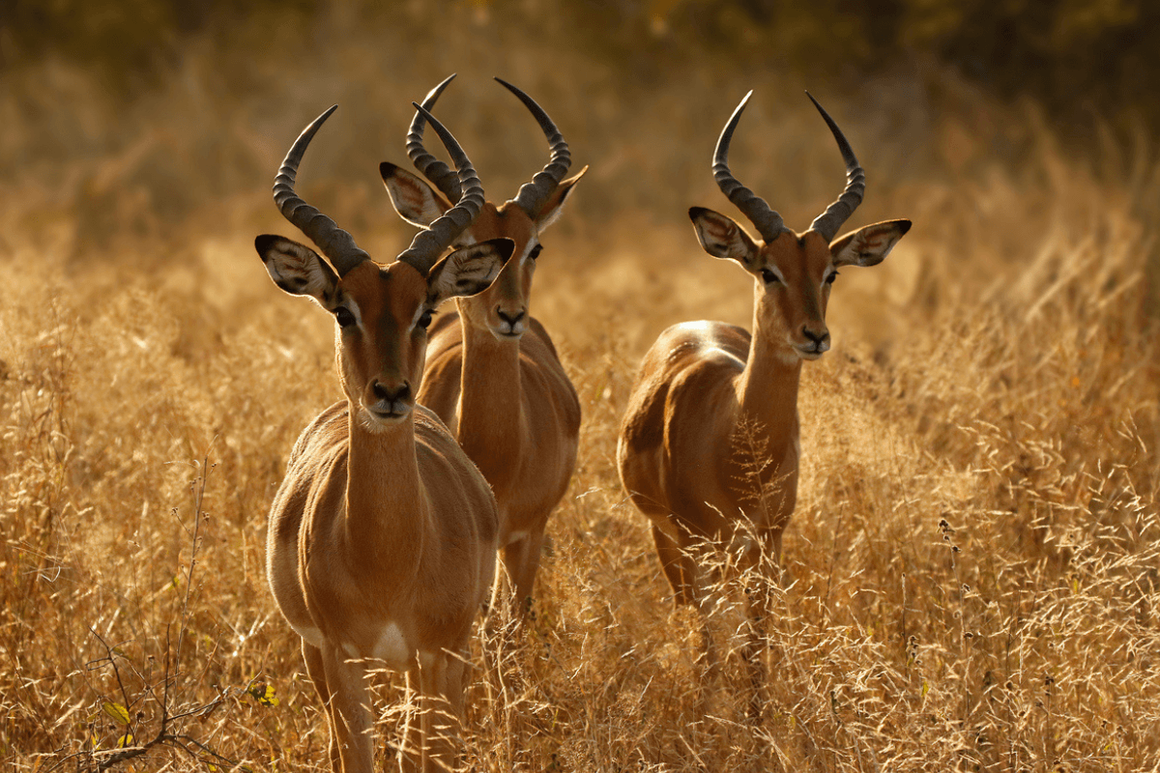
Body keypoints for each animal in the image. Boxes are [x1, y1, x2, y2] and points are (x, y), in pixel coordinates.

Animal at [258, 103, 513, 772]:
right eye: (343, 309)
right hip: (325, 659)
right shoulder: (340, 658)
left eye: (426, 310)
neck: (387, 562)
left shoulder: (440, 654)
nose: (390, 393)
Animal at [617, 92, 911, 687]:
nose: (814, 335)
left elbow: (756, 649)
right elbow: (711, 649)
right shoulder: (698, 544)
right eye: (768, 270)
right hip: (670, 543)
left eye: (830, 273)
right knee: (689, 619)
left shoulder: (770, 543)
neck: (732, 440)